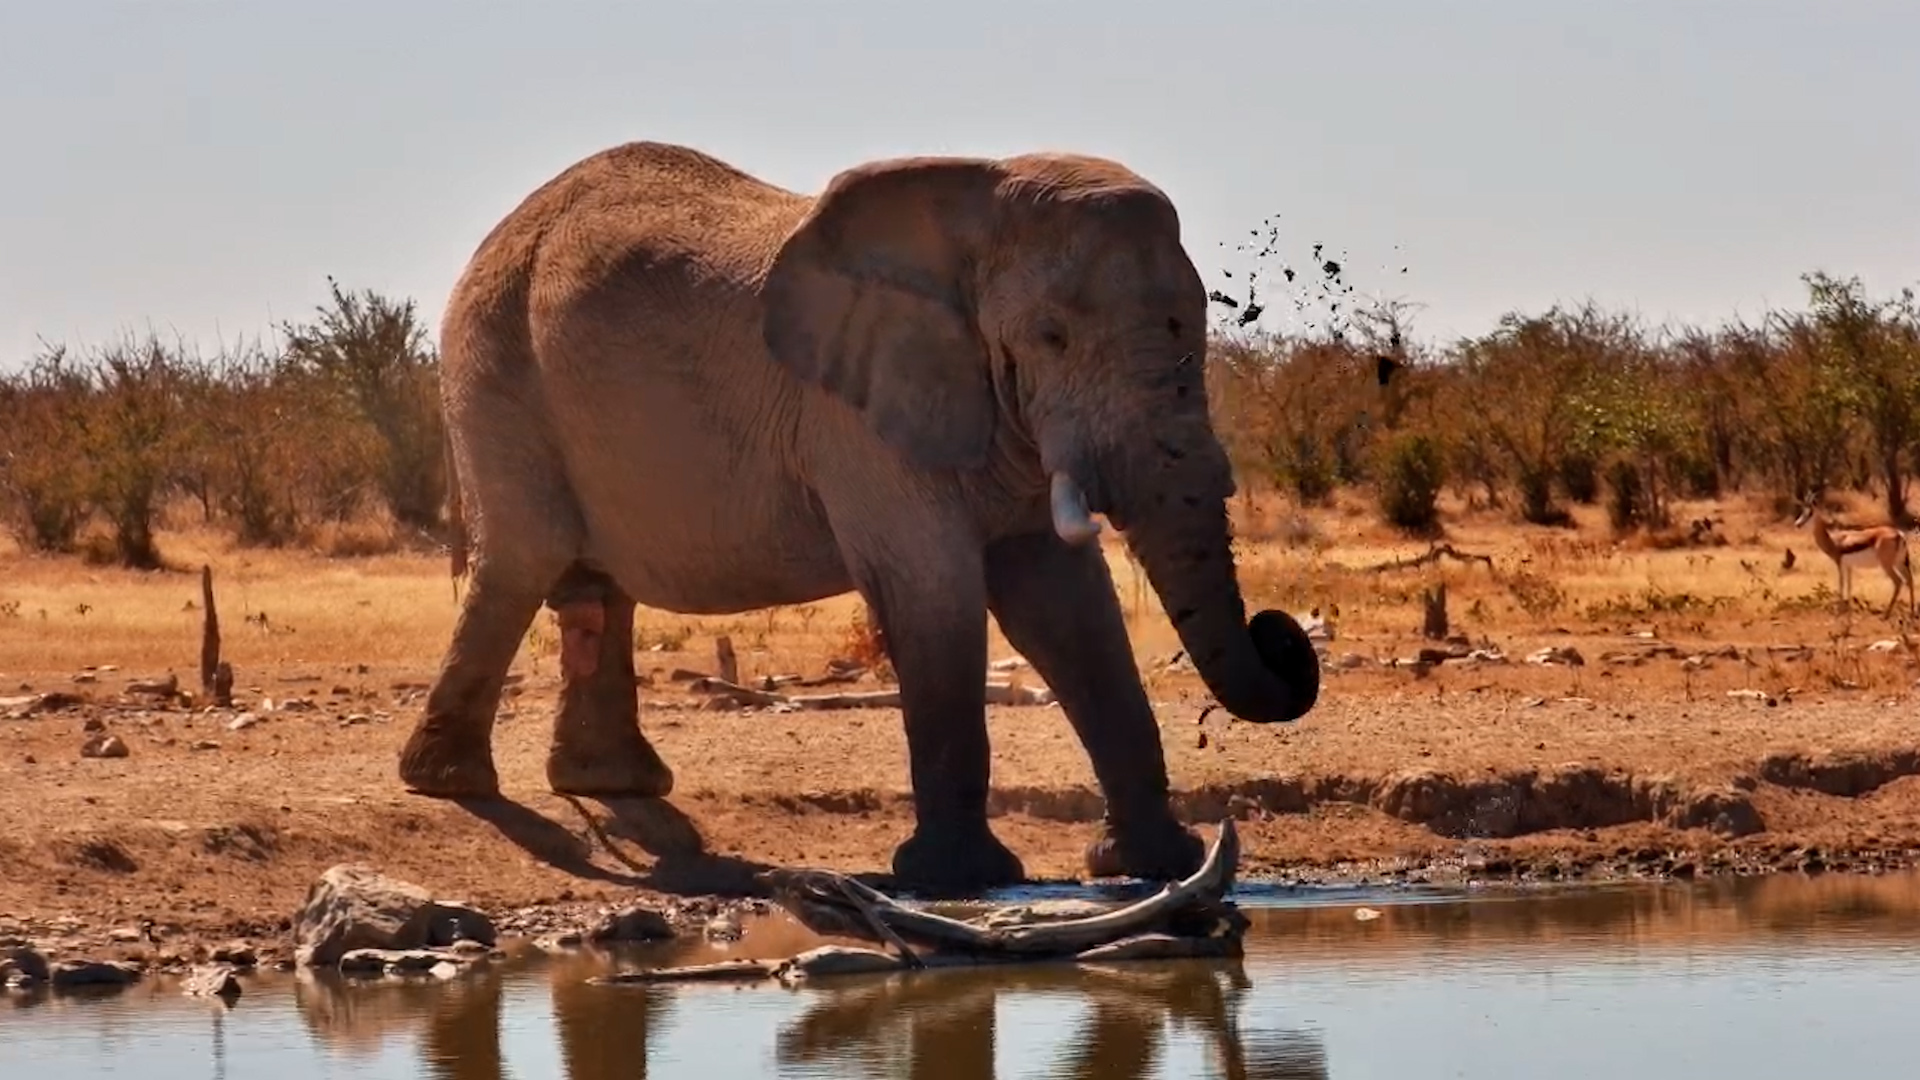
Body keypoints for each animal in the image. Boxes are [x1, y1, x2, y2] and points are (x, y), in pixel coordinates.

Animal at [399, 139, 1323, 891]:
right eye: (1051, 337)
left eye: (1198, 323)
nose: (1283, 631)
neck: (976, 205)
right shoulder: (854, 417)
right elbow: (933, 588)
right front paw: (956, 878)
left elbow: (1066, 607)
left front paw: (1153, 866)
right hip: (494, 367)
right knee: (523, 563)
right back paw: (450, 784)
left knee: (593, 589)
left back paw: (613, 786)